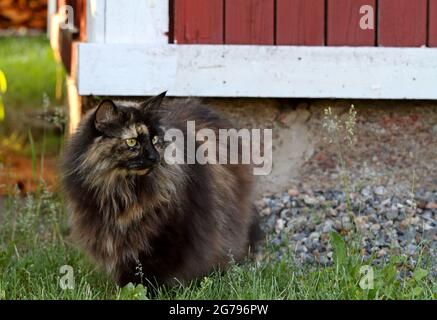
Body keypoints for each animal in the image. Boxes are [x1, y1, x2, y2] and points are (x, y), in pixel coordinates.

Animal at [61, 92, 258, 290]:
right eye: (132, 142)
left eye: (154, 140)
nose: (154, 157)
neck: (122, 191)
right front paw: (125, 289)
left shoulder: (166, 233)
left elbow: (152, 268)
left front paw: (147, 290)